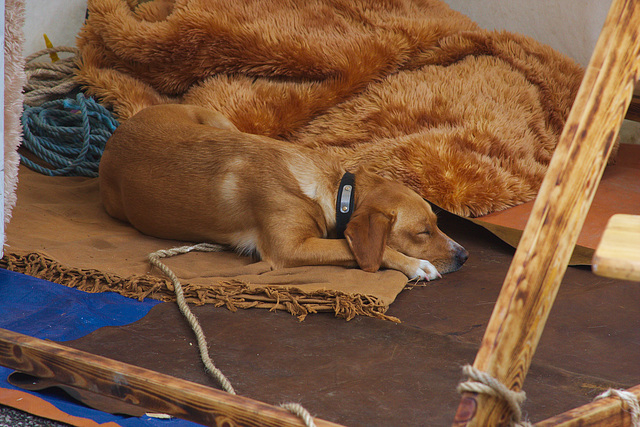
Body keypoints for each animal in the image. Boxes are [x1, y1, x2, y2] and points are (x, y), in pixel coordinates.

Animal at [101, 104, 470, 280]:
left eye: (437, 223)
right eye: (422, 232)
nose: (465, 255)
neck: (335, 189)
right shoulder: (290, 249)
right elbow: (361, 249)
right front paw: (415, 264)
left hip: (220, 122)